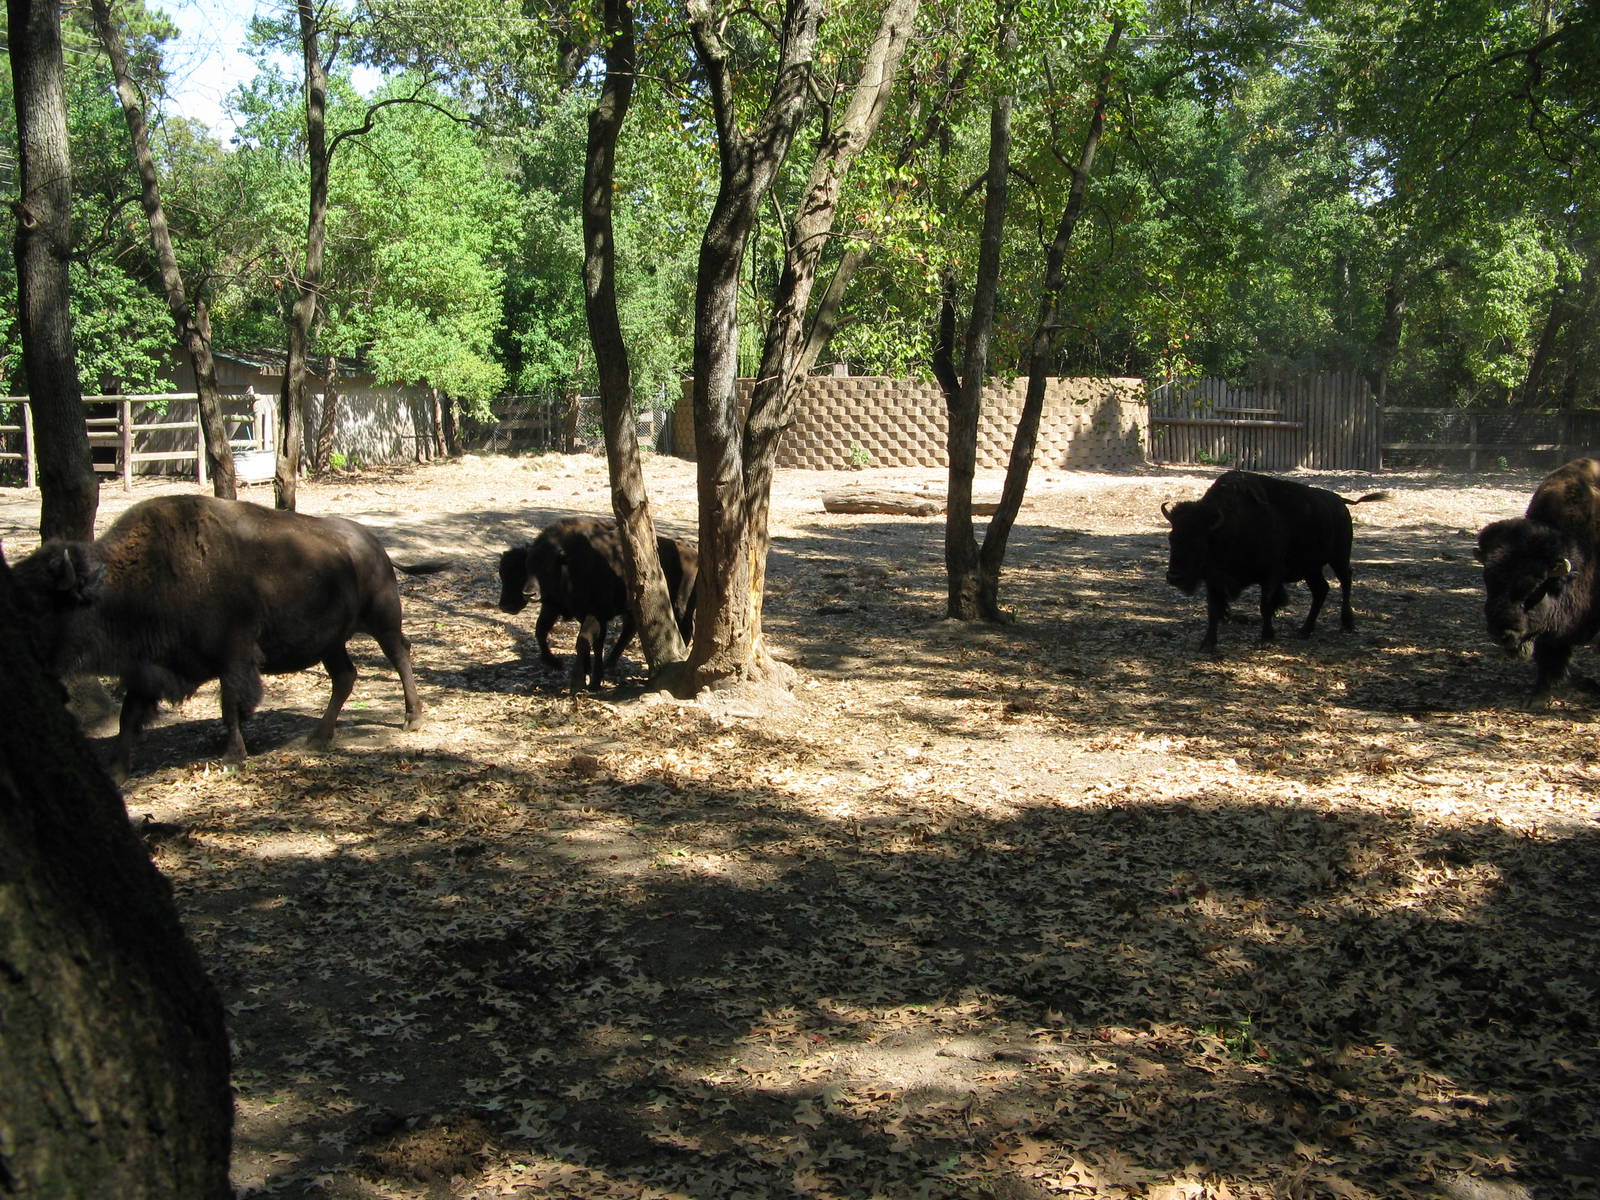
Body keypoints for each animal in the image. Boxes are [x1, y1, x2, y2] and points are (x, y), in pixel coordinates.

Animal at [9, 494, 446, 780]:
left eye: (40, 608)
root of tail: (375, 545)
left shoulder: (233, 656)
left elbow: (230, 706)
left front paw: (233, 759)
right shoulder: (146, 669)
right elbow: (129, 715)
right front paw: (117, 770)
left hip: (382, 620)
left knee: (399, 656)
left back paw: (412, 718)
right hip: (330, 641)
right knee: (345, 676)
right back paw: (318, 737)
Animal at [498, 516, 697, 690]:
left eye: (546, 568)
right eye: (527, 566)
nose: (528, 594)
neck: (568, 561)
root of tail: (692, 552)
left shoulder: (595, 613)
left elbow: (583, 640)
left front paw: (580, 680)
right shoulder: (561, 608)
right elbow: (543, 631)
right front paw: (561, 665)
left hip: (680, 607)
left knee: (684, 631)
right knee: (630, 629)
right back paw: (610, 662)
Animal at [1162, 470, 1389, 650]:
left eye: (1199, 542)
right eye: (1172, 538)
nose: (1174, 577)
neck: (1226, 528)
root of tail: (1341, 502)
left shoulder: (1271, 575)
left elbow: (1266, 605)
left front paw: (1266, 638)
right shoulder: (1214, 580)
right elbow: (1213, 610)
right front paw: (1207, 645)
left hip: (1338, 557)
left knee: (1345, 581)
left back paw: (1347, 623)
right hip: (1311, 569)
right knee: (1321, 590)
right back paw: (1304, 630)